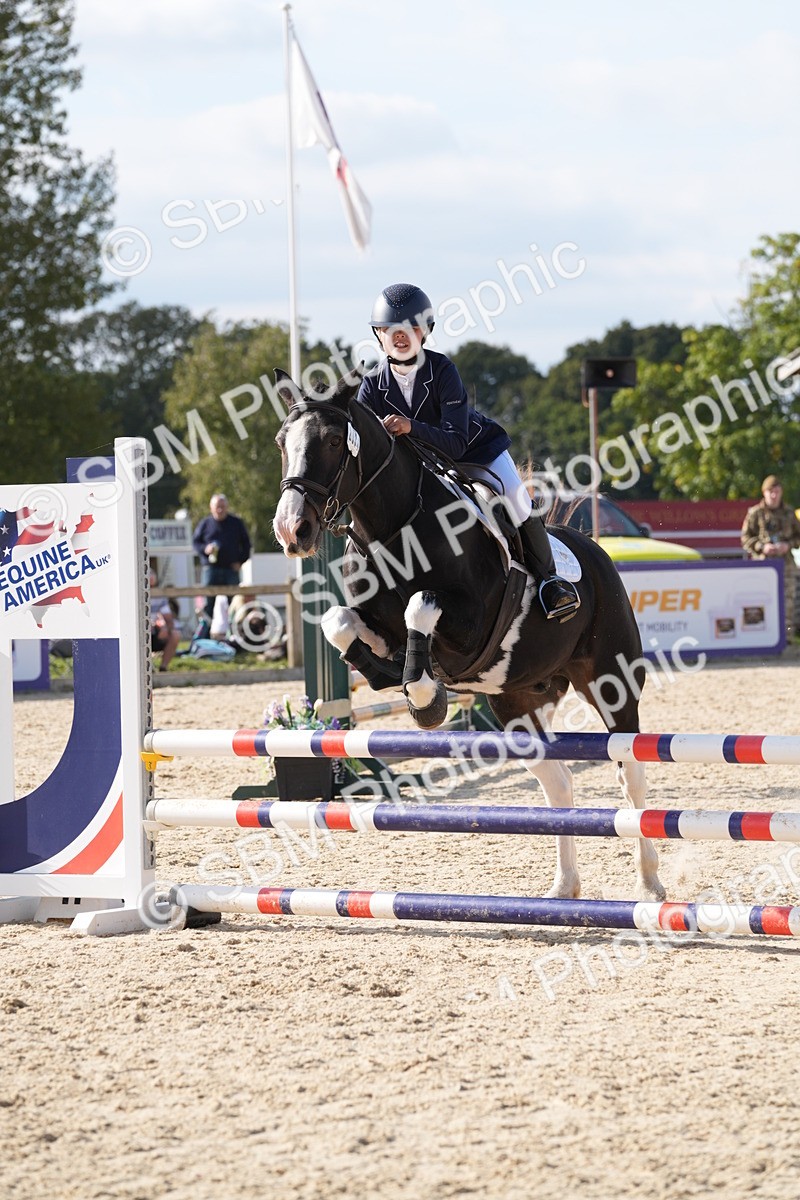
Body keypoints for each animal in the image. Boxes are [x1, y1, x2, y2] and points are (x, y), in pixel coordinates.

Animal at [272, 369, 665, 902]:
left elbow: (421, 605)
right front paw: (390, 676)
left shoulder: (471, 623)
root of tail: (595, 551)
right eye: (281, 443)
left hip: (612, 682)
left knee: (632, 775)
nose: (292, 531)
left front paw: (425, 698)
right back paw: (564, 887)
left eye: (334, 440)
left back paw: (649, 886)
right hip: (517, 703)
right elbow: (340, 623)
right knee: (558, 782)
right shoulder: (373, 622)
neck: (394, 531)